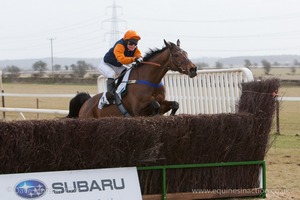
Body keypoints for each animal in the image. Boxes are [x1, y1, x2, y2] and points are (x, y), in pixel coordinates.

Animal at [67, 39, 198, 119]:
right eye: (176, 55)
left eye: (186, 53)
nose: (193, 69)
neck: (151, 80)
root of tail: (86, 103)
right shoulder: (138, 110)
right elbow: (155, 104)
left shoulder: (163, 103)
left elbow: (175, 104)